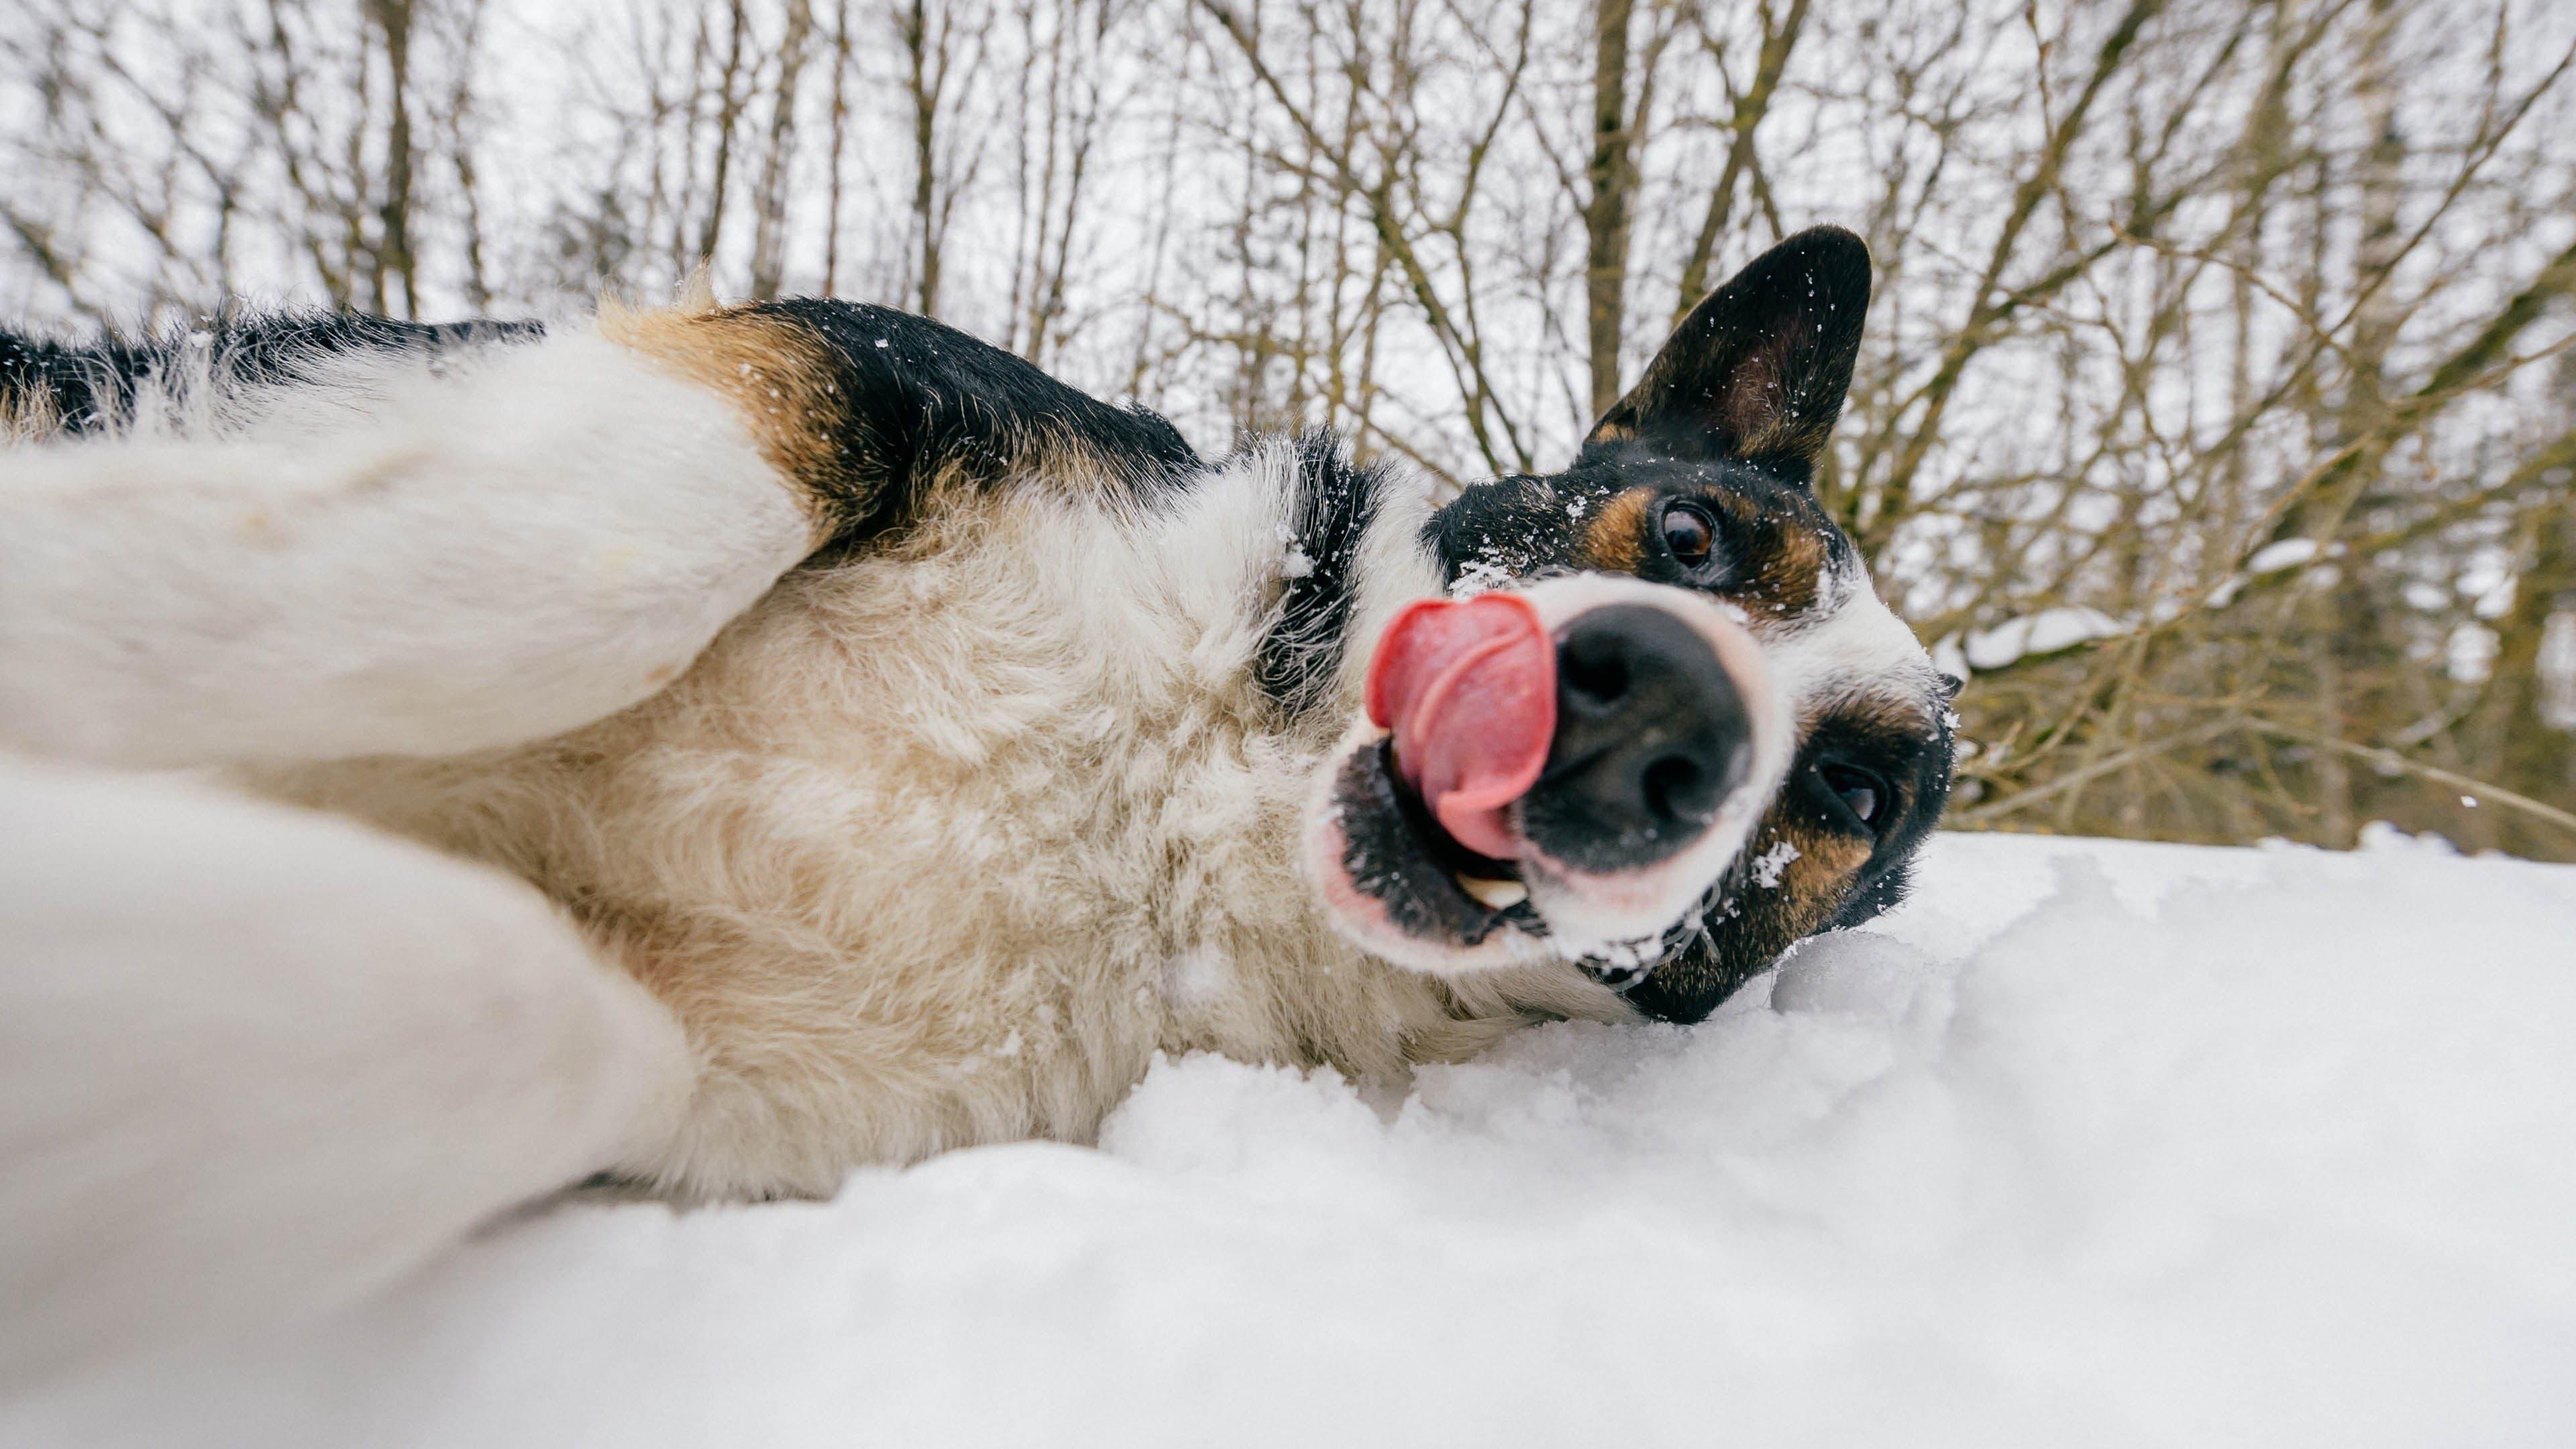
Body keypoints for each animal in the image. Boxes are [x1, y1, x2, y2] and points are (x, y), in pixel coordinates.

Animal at [0, 223, 1947, 1371]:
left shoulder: (698, 1086)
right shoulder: (834, 376)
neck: (1176, 805)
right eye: (1691, 536)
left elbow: (484, 1013)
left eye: (1851, 790)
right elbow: (571, 570)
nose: (1656, 717)